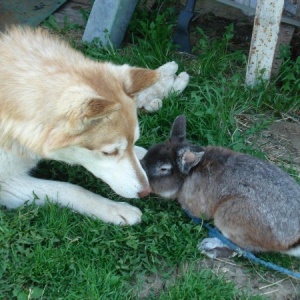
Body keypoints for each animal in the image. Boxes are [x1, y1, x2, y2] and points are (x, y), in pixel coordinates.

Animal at [0, 26, 189, 225]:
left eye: (135, 140)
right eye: (109, 152)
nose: (146, 192)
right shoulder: (7, 183)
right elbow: (72, 189)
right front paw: (115, 209)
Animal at [142, 116, 300, 256]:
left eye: (163, 168)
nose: (141, 167)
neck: (188, 175)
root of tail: (292, 241)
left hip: (229, 216)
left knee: (243, 248)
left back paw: (208, 247)